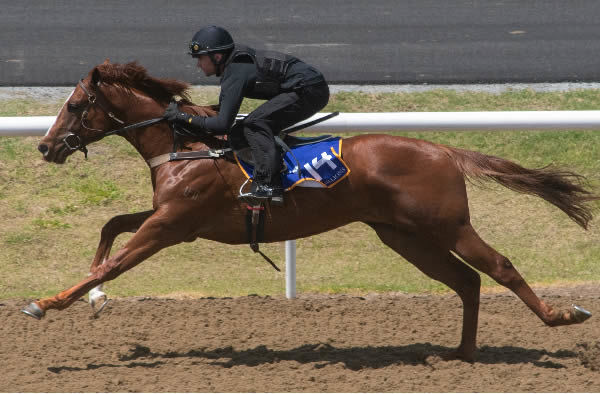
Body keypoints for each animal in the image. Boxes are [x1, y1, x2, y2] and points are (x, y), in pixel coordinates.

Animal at [28, 61, 596, 360]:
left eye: (74, 106)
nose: (46, 146)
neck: (186, 145)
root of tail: (445, 150)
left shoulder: (170, 225)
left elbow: (115, 261)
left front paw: (47, 302)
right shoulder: (171, 219)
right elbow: (109, 230)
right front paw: (94, 299)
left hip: (449, 226)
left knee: (499, 267)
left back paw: (560, 316)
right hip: (403, 235)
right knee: (466, 281)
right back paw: (460, 354)